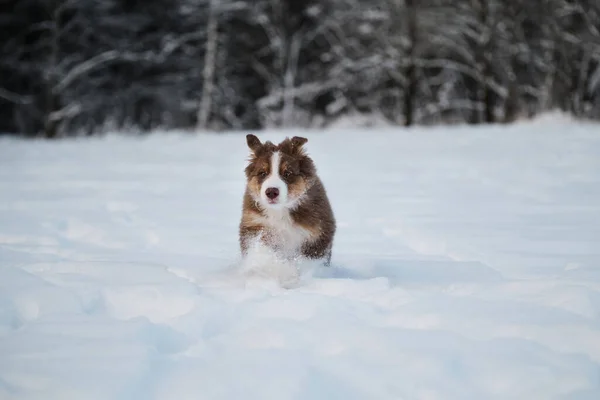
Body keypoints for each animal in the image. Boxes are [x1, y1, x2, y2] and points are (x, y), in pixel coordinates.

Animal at [238, 134, 336, 266]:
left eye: (287, 173)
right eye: (262, 173)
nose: (271, 192)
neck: (280, 210)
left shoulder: (317, 234)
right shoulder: (255, 224)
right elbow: (262, 249)